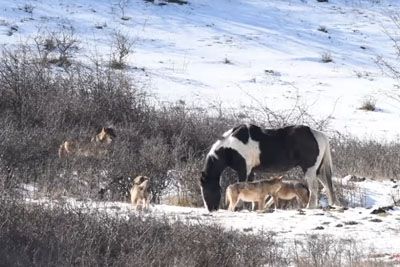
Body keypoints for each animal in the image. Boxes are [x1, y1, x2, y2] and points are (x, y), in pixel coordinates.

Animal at [200, 124, 334, 213]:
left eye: (206, 190)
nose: (211, 209)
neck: (230, 146)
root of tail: (319, 134)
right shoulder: (251, 171)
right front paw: (253, 208)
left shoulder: (244, 170)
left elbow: (242, 185)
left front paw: (239, 208)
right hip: (318, 170)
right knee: (327, 185)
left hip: (309, 169)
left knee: (314, 187)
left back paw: (310, 207)